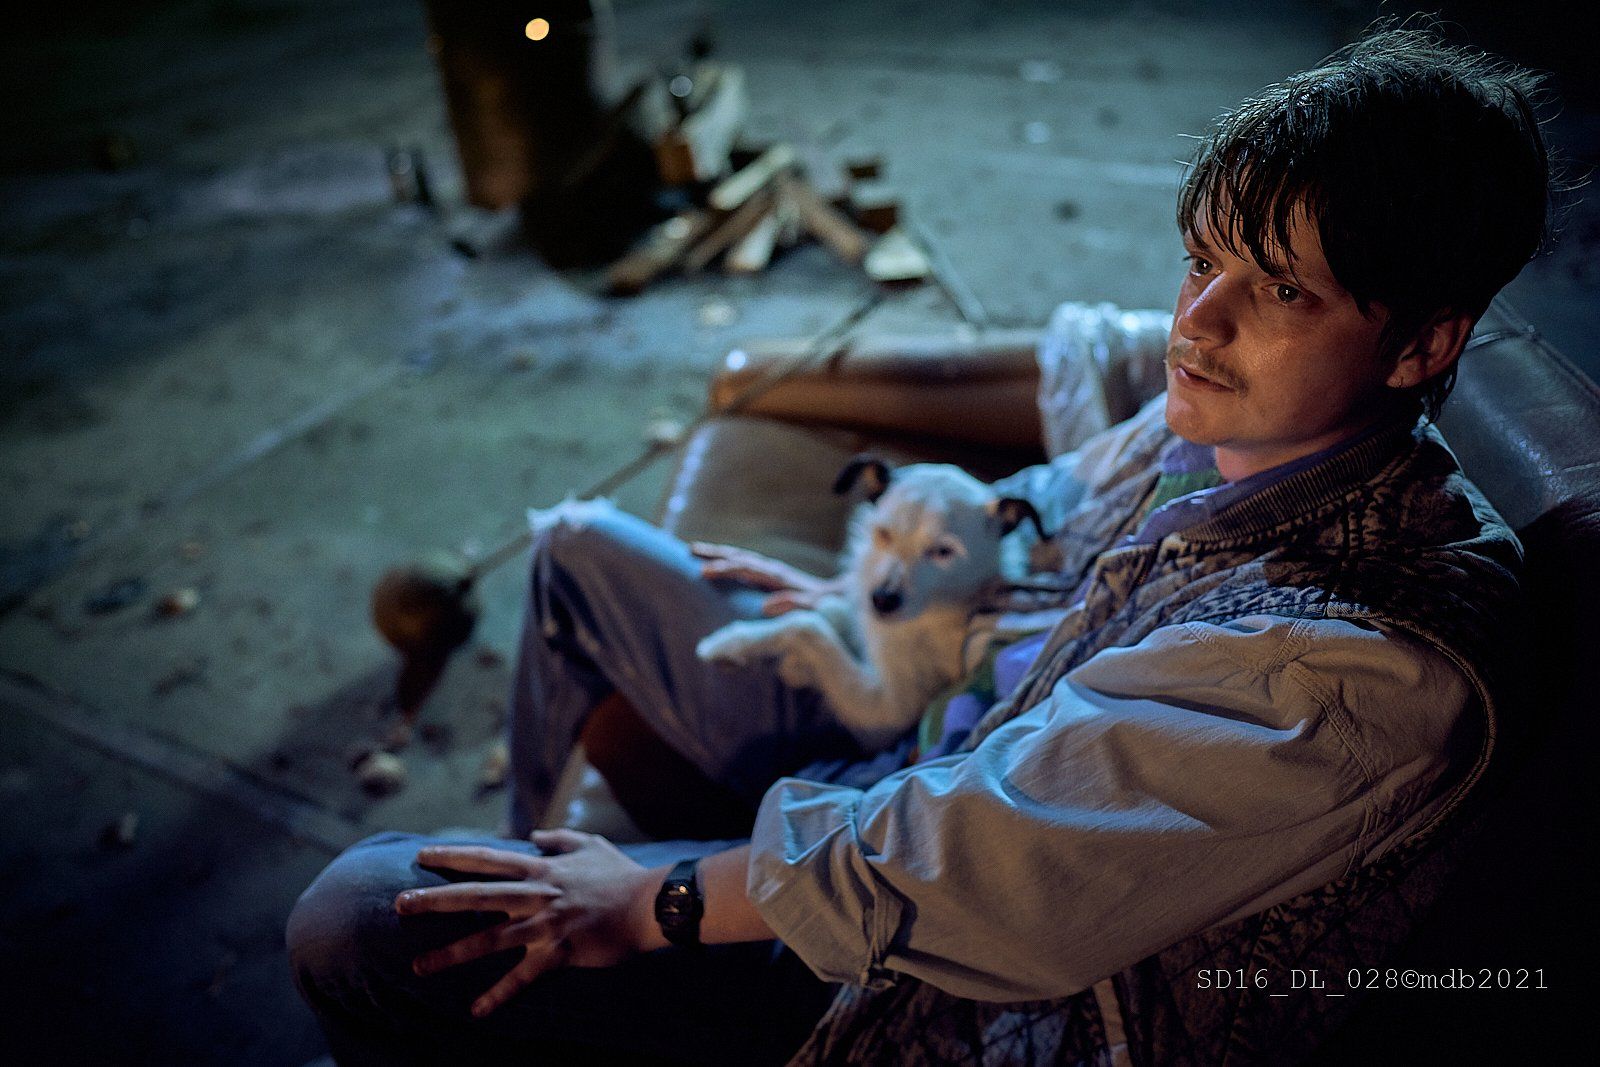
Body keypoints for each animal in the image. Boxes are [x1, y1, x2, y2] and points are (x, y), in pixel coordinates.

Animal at [695, 456, 1048, 750]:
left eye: (944, 551)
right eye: (884, 534)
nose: (881, 600)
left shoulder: (885, 715)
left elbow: (808, 628)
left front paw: (729, 642)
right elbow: (830, 615)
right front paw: (796, 662)